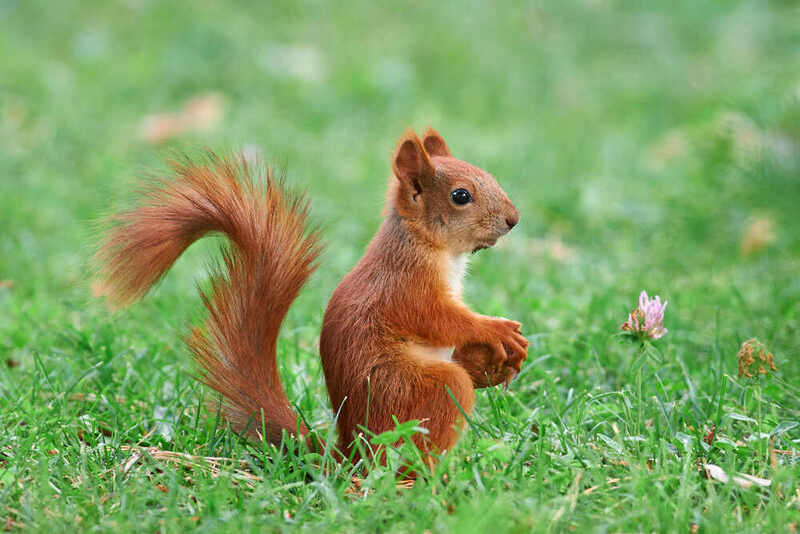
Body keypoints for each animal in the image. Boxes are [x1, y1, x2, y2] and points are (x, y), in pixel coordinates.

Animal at [95, 128, 529, 465]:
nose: (513, 219)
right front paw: (495, 329)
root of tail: (351, 455)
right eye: (461, 196)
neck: (431, 248)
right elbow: (440, 318)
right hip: (417, 391)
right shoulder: (406, 286)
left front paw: (495, 362)